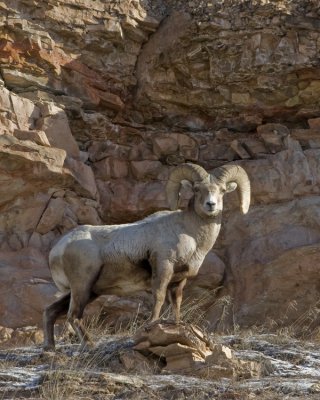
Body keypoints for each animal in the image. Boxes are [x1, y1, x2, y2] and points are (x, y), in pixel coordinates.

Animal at [43, 164, 250, 348]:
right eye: (198, 189)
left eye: (222, 190)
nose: (211, 205)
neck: (190, 233)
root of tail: (59, 248)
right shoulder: (163, 268)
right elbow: (158, 298)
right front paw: (151, 325)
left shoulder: (178, 280)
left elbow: (176, 303)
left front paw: (177, 325)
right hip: (82, 287)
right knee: (73, 316)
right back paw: (90, 345)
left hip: (87, 290)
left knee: (50, 311)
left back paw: (50, 349)